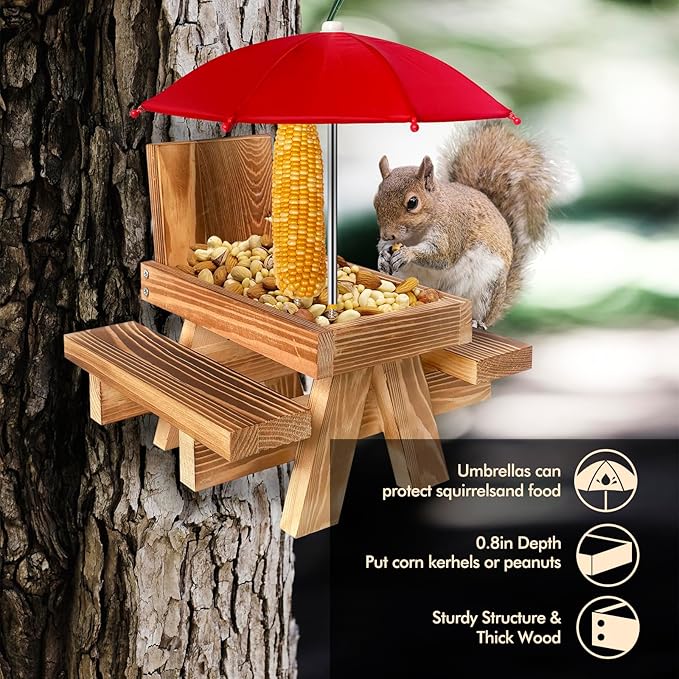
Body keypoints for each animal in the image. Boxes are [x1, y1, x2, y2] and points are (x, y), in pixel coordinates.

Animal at [374, 122, 556, 327]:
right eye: (376, 200)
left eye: (412, 202)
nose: (387, 235)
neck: (415, 235)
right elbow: (384, 248)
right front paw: (382, 256)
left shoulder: (452, 230)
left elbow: (442, 255)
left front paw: (407, 253)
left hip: (487, 288)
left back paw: (476, 322)